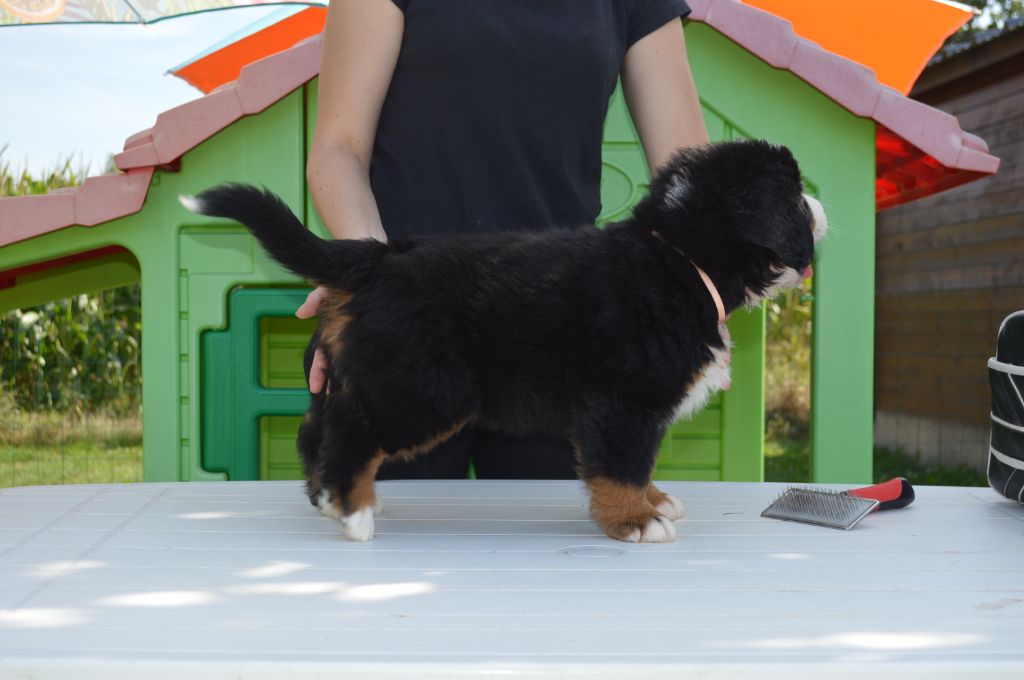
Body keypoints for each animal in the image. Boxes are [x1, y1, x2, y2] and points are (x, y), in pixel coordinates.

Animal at [181, 139, 827, 543]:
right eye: (796, 196)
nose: (822, 209)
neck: (677, 257)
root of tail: (380, 258)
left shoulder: (632, 411)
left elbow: (637, 465)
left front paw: (654, 500)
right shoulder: (624, 404)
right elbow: (620, 468)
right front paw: (635, 522)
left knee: (316, 427)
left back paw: (329, 500)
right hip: (423, 387)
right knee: (350, 431)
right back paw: (354, 510)